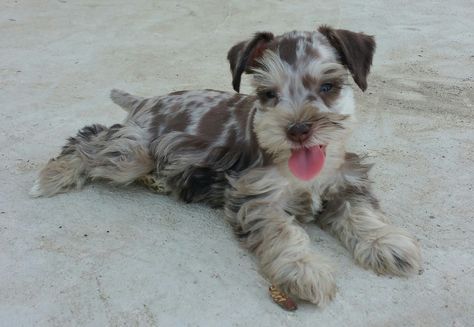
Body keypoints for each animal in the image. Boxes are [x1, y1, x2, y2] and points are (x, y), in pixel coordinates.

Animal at [31, 25, 420, 308]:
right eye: (268, 94)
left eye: (328, 86)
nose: (297, 129)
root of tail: (146, 101)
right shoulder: (257, 197)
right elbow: (284, 232)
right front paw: (303, 268)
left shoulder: (348, 181)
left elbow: (361, 213)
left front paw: (387, 244)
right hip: (132, 153)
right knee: (89, 139)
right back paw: (52, 176)